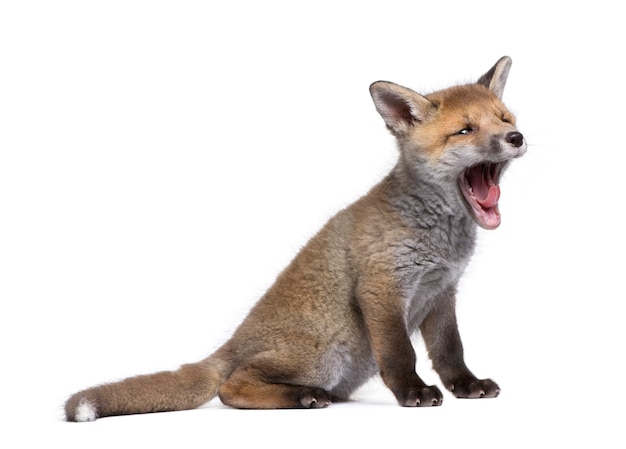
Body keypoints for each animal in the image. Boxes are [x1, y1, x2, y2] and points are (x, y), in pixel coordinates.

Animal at [64, 55, 520, 420]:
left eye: (504, 119)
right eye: (464, 131)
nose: (516, 138)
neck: (440, 239)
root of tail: (233, 342)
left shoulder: (442, 291)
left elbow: (450, 351)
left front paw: (466, 386)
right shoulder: (383, 289)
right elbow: (399, 354)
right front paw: (413, 392)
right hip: (325, 354)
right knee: (230, 386)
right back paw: (302, 397)